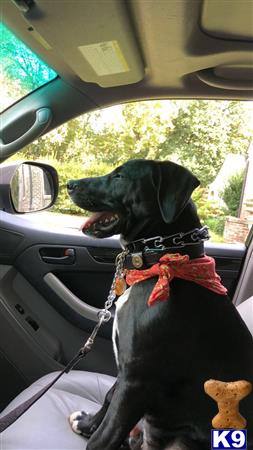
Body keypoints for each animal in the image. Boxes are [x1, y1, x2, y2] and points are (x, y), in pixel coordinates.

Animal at [66, 160, 253, 450]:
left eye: (120, 176)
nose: (69, 184)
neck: (162, 262)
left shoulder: (136, 382)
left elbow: (107, 433)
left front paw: (92, 433)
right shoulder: (127, 373)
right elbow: (109, 399)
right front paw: (87, 424)